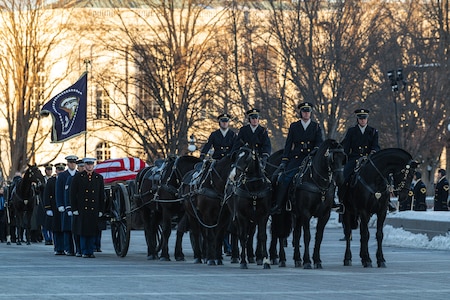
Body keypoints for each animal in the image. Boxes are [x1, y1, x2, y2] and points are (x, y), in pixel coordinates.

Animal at [290, 139, 346, 268]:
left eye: (343, 158)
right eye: (333, 158)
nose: (340, 180)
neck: (319, 184)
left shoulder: (325, 215)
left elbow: (319, 236)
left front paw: (317, 260)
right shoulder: (305, 213)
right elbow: (307, 236)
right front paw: (307, 261)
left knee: (297, 233)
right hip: (295, 214)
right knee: (296, 234)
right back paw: (297, 258)